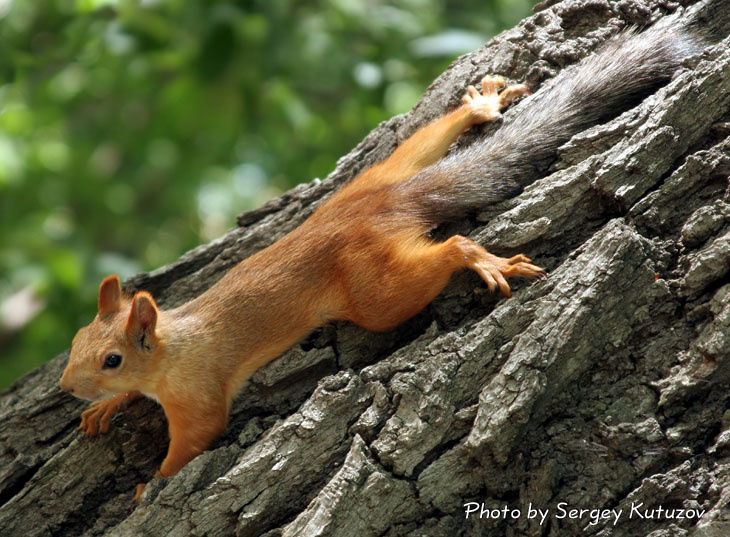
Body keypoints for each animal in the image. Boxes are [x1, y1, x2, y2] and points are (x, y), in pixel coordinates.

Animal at [59, 14, 706, 501]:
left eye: (113, 358)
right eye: (75, 342)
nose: (67, 387)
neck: (171, 343)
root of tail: (384, 205)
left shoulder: (198, 396)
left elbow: (196, 439)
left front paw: (151, 484)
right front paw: (106, 408)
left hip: (374, 292)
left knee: (442, 254)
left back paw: (481, 259)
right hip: (384, 171)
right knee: (425, 144)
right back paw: (480, 109)